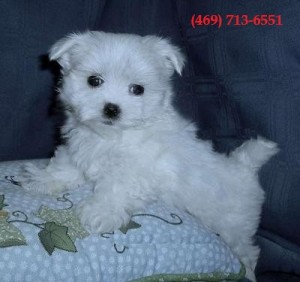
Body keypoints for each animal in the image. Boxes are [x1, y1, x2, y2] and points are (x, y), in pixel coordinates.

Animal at [21, 30, 278, 280]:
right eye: (94, 81)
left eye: (138, 89)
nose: (112, 108)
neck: (111, 136)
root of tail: (245, 168)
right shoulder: (79, 147)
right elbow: (65, 165)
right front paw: (43, 179)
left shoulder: (137, 171)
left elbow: (116, 189)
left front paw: (101, 211)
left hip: (234, 225)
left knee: (247, 249)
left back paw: (249, 268)